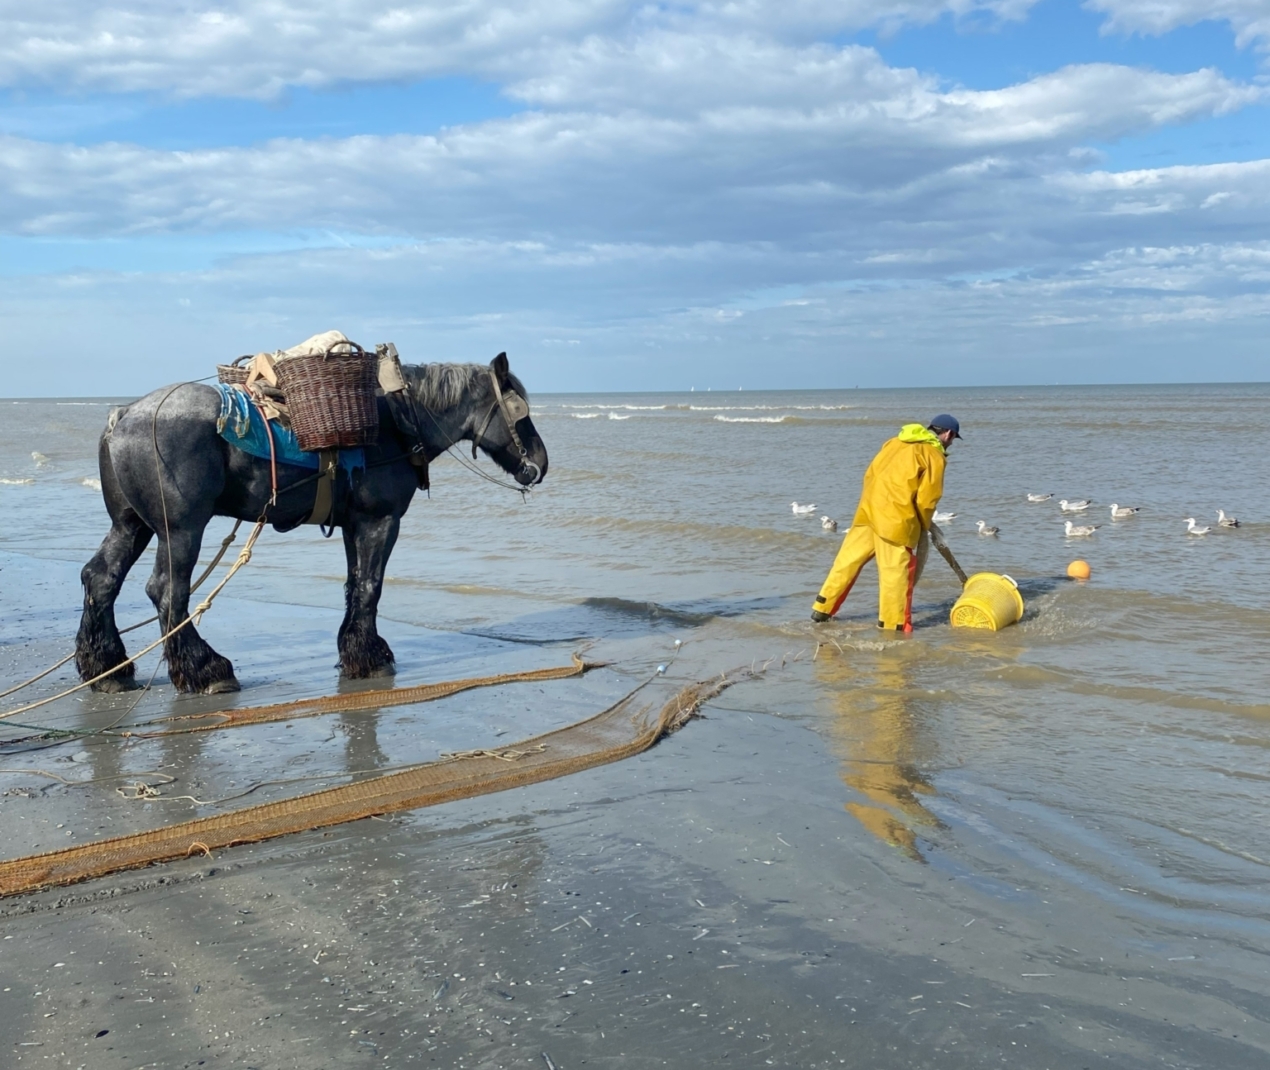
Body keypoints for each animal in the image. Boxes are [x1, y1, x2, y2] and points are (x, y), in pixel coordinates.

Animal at [74, 353, 547, 695]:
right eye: (520, 412)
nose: (540, 464)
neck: (395, 423)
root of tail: (124, 415)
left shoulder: (354, 524)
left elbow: (354, 585)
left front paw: (356, 650)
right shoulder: (381, 521)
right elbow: (371, 586)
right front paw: (371, 657)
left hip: (132, 525)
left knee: (101, 578)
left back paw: (108, 668)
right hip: (181, 529)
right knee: (168, 592)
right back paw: (206, 669)